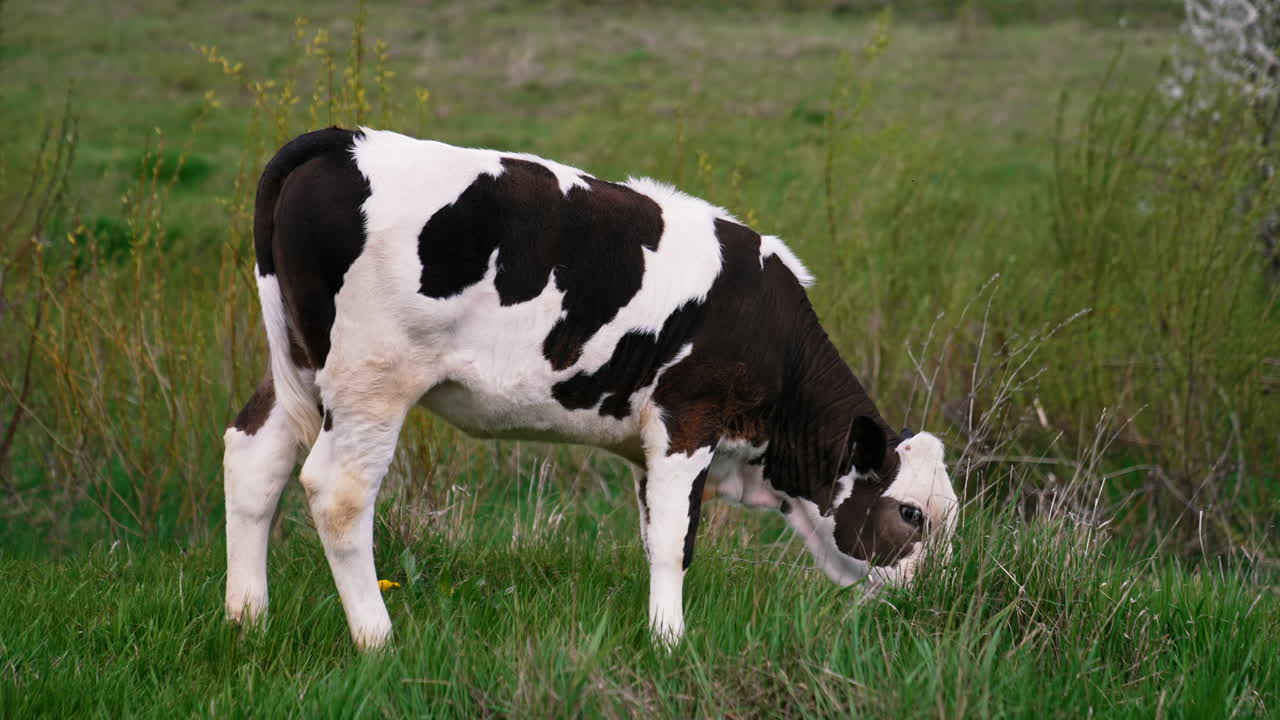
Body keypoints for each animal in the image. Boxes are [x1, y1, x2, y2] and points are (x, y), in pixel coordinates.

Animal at [223, 127, 958, 650]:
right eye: (910, 514)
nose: (929, 602)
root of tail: (339, 141)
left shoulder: (647, 446)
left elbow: (655, 534)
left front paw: (658, 633)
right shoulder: (687, 417)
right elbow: (678, 540)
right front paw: (672, 645)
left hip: (298, 364)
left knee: (254, 456)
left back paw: (246, 619)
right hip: (370, 377)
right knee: (339, 493)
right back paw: (378, 640)